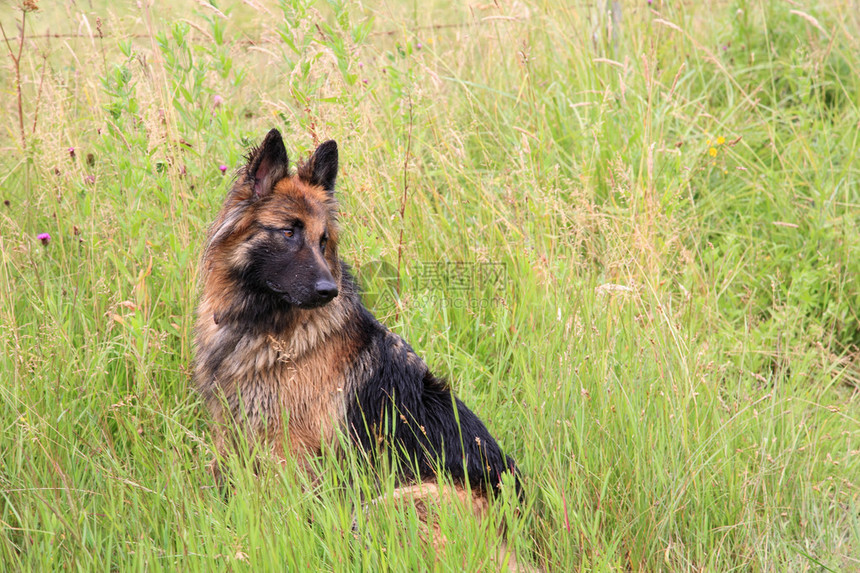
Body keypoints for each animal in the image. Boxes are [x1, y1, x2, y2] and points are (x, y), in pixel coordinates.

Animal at [194, 127, 516, 502]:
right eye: (288, 232)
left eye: (323, 241)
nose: (328, 291)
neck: (261, 323)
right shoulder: (231, 431)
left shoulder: (290, 447)